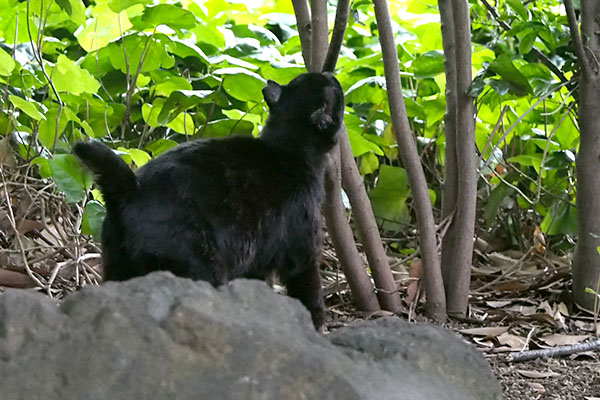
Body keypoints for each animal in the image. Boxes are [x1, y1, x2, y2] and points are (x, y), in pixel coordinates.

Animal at [74, 72, 344, 332]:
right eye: (334, 87)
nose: (331, 73)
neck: (288, 146)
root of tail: (133, 188)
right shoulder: (303, 252)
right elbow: (309, 294)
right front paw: (315, 327)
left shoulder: (256, 264)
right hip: (201, 267)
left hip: (119, 268)